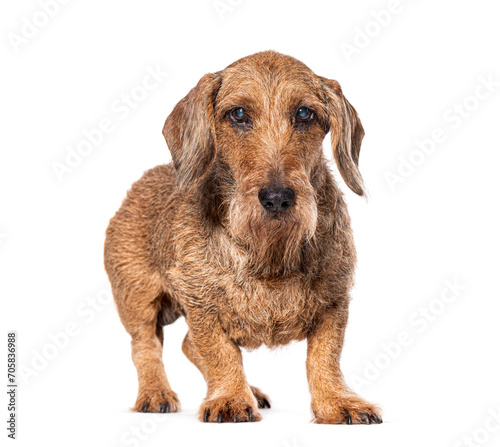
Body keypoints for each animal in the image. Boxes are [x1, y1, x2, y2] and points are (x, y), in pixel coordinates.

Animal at [103, 50, 380, 426]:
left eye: (304, 113)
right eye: (238, 114)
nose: (277, 198)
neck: (268, 252)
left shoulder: (334, 303)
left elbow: (324, 358)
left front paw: (337, 402)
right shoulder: (200, 305)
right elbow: (220, 353)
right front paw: (230, 398)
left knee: (186, 344)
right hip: (137, 299)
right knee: (145, 346)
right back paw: (156, 393)